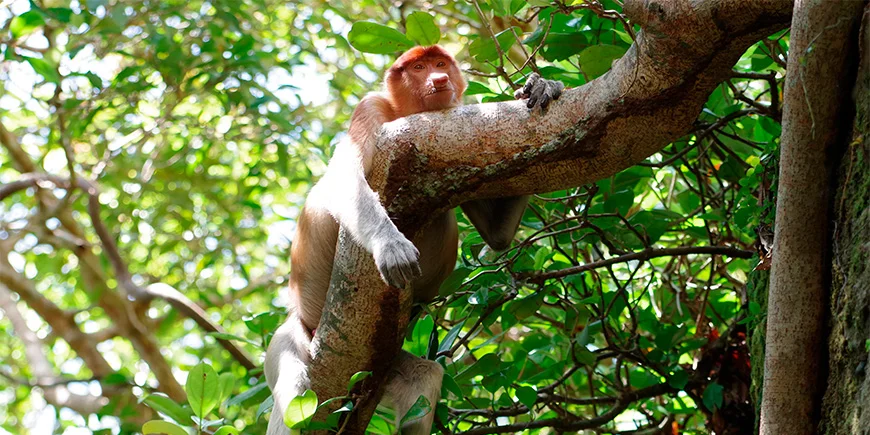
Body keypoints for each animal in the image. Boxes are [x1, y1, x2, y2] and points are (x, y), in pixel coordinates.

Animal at [265, 45, 563, 435]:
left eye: (440, 63)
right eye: (418, 67)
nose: (440, 79)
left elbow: (497, 235)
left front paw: (537, 87)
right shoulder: (370, 107)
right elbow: (344, 178)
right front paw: (391, 247)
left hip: (384, 365)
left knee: (425, 375)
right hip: (291, 340)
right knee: (296, 389)